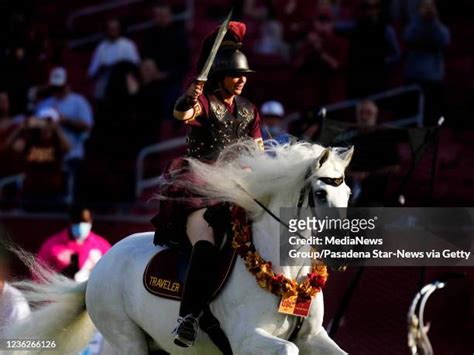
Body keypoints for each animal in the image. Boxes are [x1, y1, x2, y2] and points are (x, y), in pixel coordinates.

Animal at [6, 140, 352, 354]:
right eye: (320, 194)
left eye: (348, 192)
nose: (342, 251)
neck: (282, 274)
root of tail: (102, 265)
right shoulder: (246, 340)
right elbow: (289, 347)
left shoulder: (314, 337)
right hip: (126, 339)